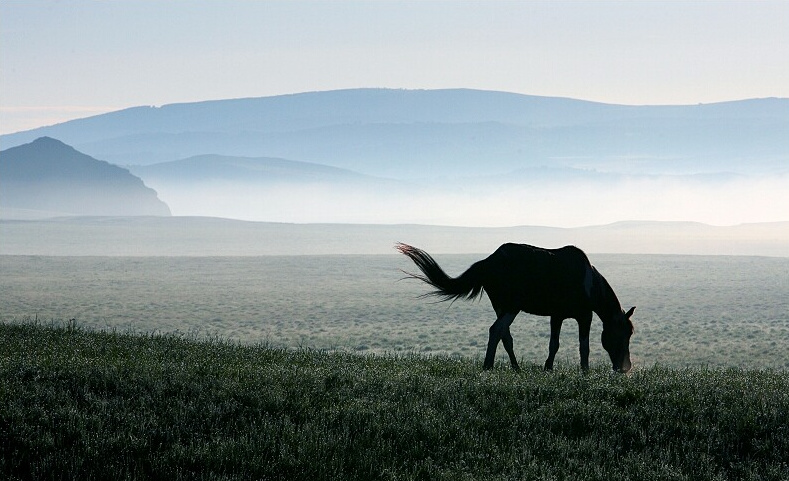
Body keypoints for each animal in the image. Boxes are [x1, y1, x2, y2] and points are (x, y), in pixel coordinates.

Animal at [394, 244, 636, 372]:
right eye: (624, 333)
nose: (625, 367)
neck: (591, 284)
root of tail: (487, 262)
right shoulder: (584, 316)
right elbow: (583, 347)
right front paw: (584, 373)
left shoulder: (556, 316)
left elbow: (554, 344)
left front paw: (548, 368)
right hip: (511, 307)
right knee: (496, 330)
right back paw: (488, 367)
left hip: (501, 307)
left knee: (504, 335)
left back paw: (516, 368)